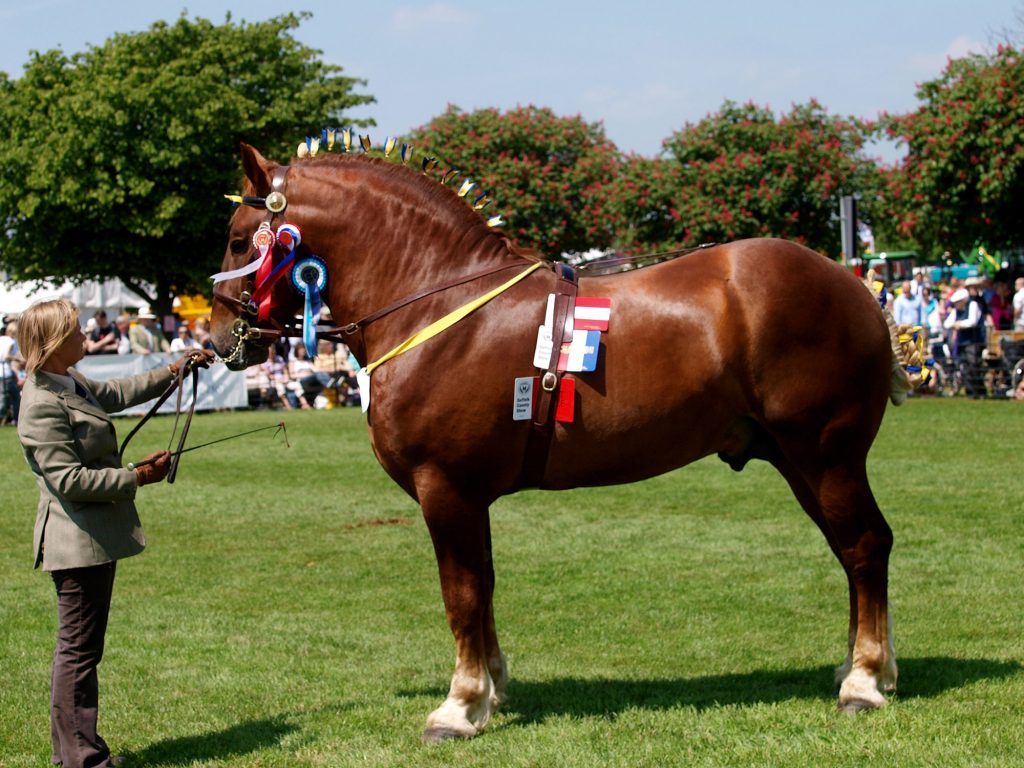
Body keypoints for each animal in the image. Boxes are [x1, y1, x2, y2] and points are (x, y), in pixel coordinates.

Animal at [211, 144, 909, 745]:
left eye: (240, 239)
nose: (220, 336)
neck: (442, 304)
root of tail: (854, 286)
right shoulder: (470, 497)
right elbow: (484, 586)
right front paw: (491, 689)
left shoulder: (446, 489)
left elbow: (461, 594)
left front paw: (459, 706)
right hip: (799, 462)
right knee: (851, 552)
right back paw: (858, 669)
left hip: (826, 455)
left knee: (865, 546)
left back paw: (865, 681)